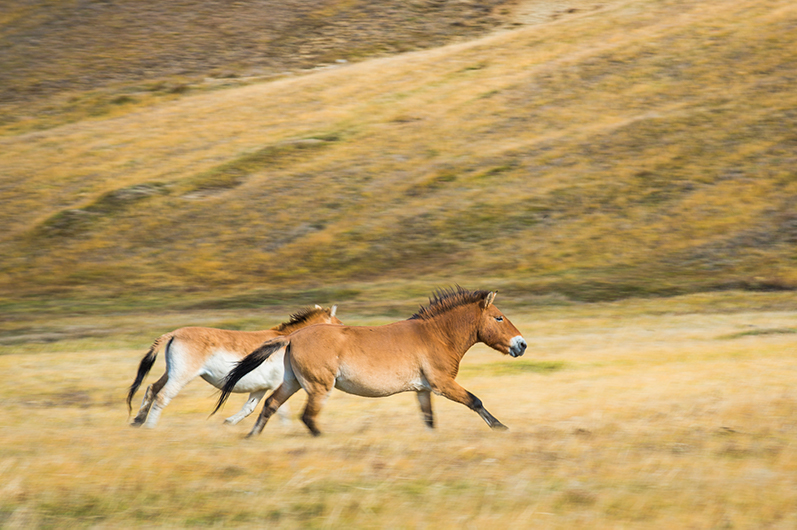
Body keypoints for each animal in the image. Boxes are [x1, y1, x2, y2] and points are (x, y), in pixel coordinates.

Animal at [127, 304, 342, 426]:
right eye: (339, 324)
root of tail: (174, 333)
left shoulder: (260, 387)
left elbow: (250, 408)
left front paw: (229, 422)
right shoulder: (278, 384)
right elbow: (280, 410)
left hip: (170, 372)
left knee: (152, 389)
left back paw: (138, 421)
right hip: (181, 376)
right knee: (162, 396)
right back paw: (150, 427)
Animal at [216, 286, 528, 436]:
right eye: (499, 318)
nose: (521, 345)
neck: (436, 335)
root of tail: (292, 337)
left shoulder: (424, 389)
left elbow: (429, 419)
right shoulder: (442, 383)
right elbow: (475, 401)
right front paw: (500, 427)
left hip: (293, 383)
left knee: (270, 404)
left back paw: (251, 437)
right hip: (319, 387)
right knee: (308, 417)